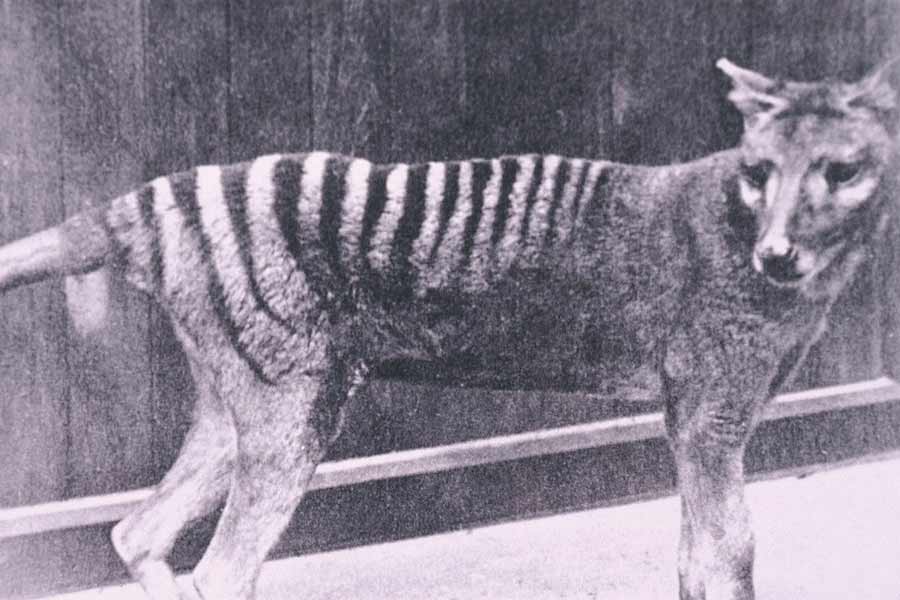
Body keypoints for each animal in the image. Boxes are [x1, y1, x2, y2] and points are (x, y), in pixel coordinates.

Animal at [0, 57, 897, 600]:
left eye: (841, 169)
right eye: (760, 170)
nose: (777, 254)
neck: (739, 224)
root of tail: (142, 209)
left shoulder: (691, 421)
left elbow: (694, 554)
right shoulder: (713, 416)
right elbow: (731, 550)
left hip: (243, 399)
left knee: (136, 530)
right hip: (291, 407)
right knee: (217, 573)